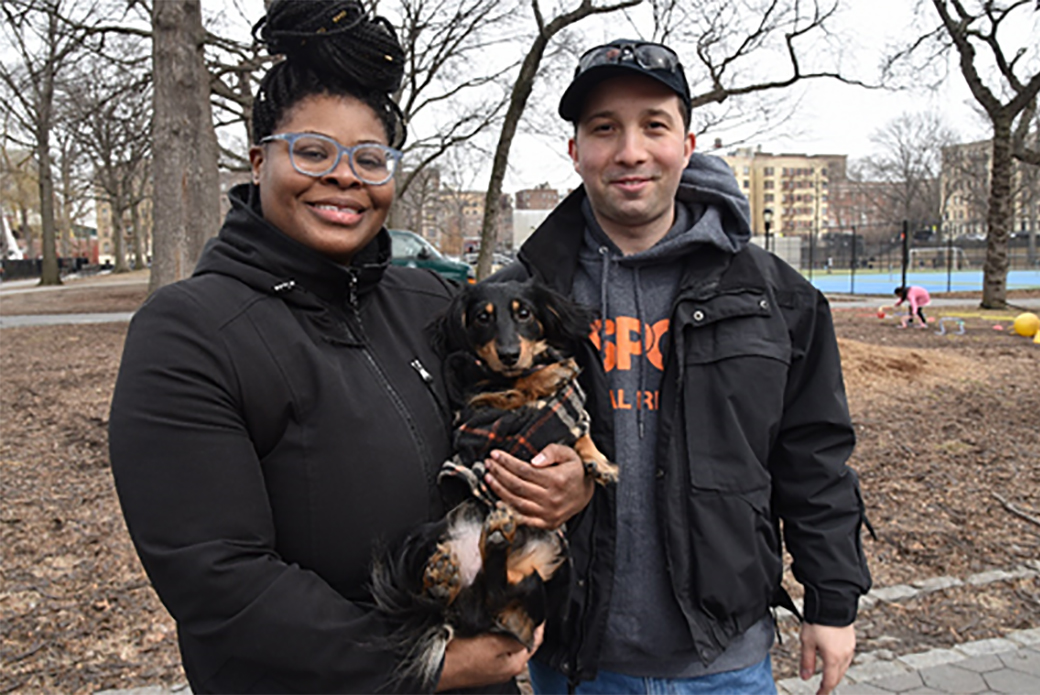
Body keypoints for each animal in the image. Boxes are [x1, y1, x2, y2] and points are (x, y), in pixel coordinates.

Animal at [372, 278, 615, 690]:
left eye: (524, 313)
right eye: (482, 318)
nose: (509, 354)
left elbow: (578, 431)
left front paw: (598, 463)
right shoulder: (477, 409)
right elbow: (518, 388)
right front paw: (549, 375)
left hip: (544, 580)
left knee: (489, 593)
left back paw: (453, 572)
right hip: (422, 541)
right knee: (489, 592)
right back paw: (485, 545)